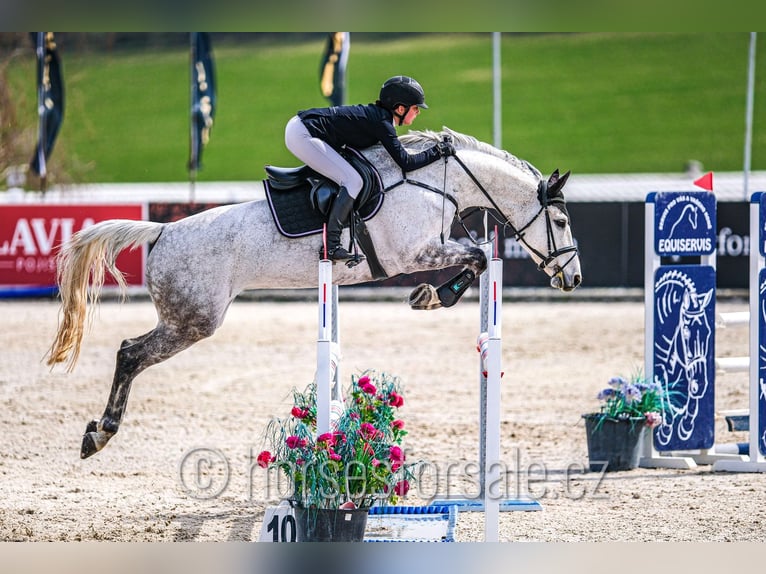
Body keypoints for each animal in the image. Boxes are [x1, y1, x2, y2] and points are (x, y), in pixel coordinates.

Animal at [45, 127, 582, 459]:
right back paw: (100, 434)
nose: (572, 279)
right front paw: (431, 296)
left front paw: (430, 296)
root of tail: (162, 231)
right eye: (559, 220)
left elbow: (478, 258)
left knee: (129, 351)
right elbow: (478, 258)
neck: (436, 184)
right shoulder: (414, 253)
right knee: (129, 353)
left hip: (184, 319)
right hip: (192, 320)